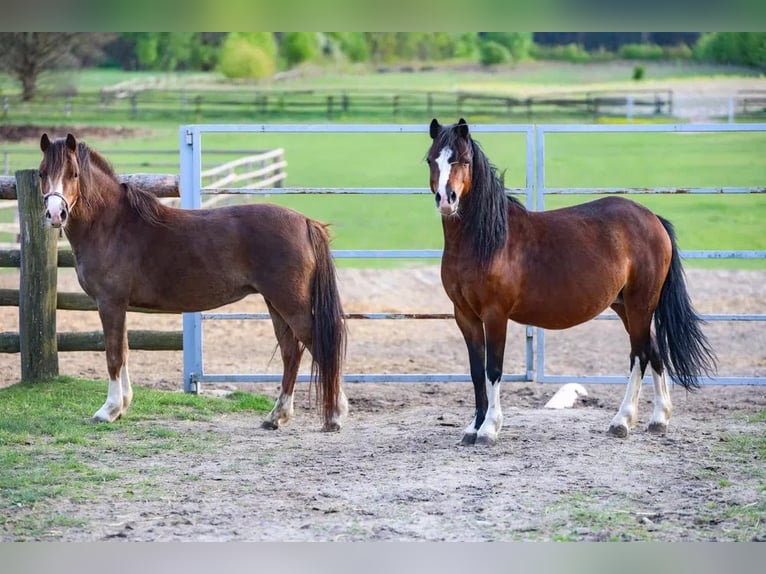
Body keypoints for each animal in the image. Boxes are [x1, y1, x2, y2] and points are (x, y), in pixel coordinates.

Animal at [36, 135, 348, 432]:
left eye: (74, 173)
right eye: (41, 173)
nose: (55, 214)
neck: (112, 225)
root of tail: (306, 223)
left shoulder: (110, 303)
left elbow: (113, 355)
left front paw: (108, 410)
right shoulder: (119, 306)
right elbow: (123, 351)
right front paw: (122, 406)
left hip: (291, 304)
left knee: (318, 346)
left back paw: (333, 415)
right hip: (275, 303)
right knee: (291, 353)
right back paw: (277, 416)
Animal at [428, 119, 716, 448]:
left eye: (463, 160)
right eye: (431, 160)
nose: (446, 200)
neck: (486, 241)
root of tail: (652, 219)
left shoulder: (495, 315)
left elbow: (493, 369)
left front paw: (489, 429)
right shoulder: (465, 316)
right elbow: (476, 372)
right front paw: (473, 428)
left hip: (641, 304)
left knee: (640, 354)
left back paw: (621, 421)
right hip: (625, 306)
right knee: (654, 350)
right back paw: (658, 420)